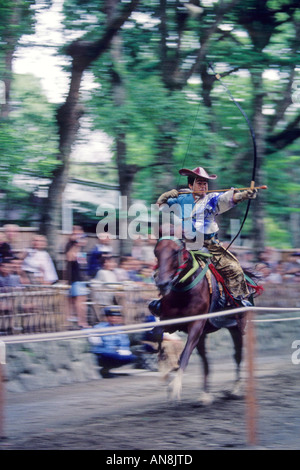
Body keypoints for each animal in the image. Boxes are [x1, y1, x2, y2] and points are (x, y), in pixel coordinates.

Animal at [151, 235, 250, 404]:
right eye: (156, 252)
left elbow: (184, 354)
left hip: (236, 328)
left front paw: (175, 386)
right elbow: (158, 334)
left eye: (176, 252)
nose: (162, 284)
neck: (184, 292)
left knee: (237, 355)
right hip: (204, 335)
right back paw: (205, 395)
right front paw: (165, 368)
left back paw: (235, 389)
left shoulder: (196, 325)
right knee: (205, 360)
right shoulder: (169, 321)